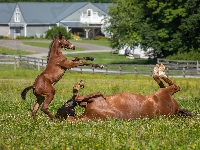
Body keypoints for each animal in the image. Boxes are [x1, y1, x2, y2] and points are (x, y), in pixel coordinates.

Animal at [55, 63, 193, 121]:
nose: (68, 103)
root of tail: (177, 111)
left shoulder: (94, 98)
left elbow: (77, 97)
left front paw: (78, 87)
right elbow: (77, 97)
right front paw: (78, 87)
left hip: (161, 92)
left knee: (170, 85)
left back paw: (158, 69)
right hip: (161, 93)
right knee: (172, 86)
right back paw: (159, 70)